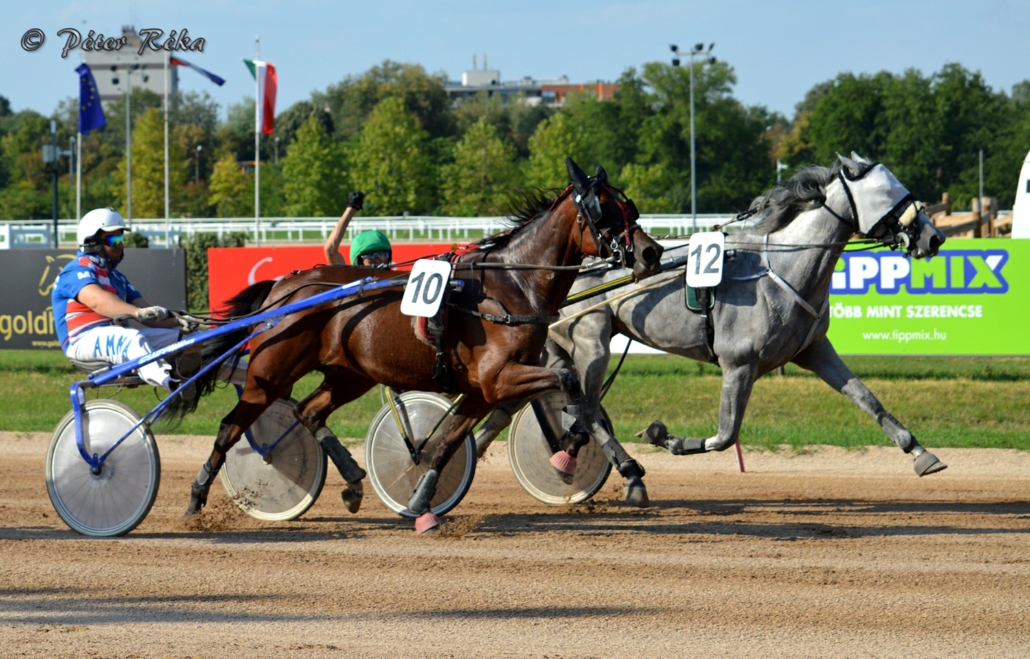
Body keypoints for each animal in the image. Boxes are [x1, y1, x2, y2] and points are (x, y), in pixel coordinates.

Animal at [176, 156, 659, 531]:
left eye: (628, 206)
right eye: (603, 209)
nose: (650, 252)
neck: (510, 286)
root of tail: (286, 285)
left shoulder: (482, 389)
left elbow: (446, 445)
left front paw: (421, 503)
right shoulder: (499, 378)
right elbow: (569, 381)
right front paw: (569, 452)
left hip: (349, 375)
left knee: (308, 411)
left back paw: (353, 481)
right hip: (270, 373)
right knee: (232, 425)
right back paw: (196, 499)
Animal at [471, 155, 943, 504]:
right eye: (887, 193)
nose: (933, 237)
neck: (780, 268)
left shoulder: (813, 351)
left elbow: (868, 399)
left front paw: (921, 453)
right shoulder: (739, 364)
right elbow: (725, 435)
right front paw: (666, 438)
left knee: (526, 405)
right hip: (591, 339)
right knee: (584, 409)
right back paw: (618, 470)